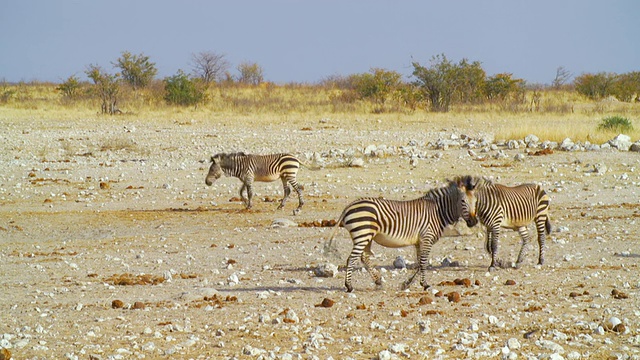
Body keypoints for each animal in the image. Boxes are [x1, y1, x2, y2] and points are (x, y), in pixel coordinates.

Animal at [324, 176, 480, 292]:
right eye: (463, 201)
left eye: (475, 201)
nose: (473, 221)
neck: (438, 212)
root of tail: (349, 206)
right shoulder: (427, 238)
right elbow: (424, 262)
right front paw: (425, 284)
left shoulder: (419, 241)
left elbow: (419, 263)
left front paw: (407, 283)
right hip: (362, 234)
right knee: (352, 259)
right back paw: (349, 286)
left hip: (367, 237)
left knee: (364, 257)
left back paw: (378, 281)